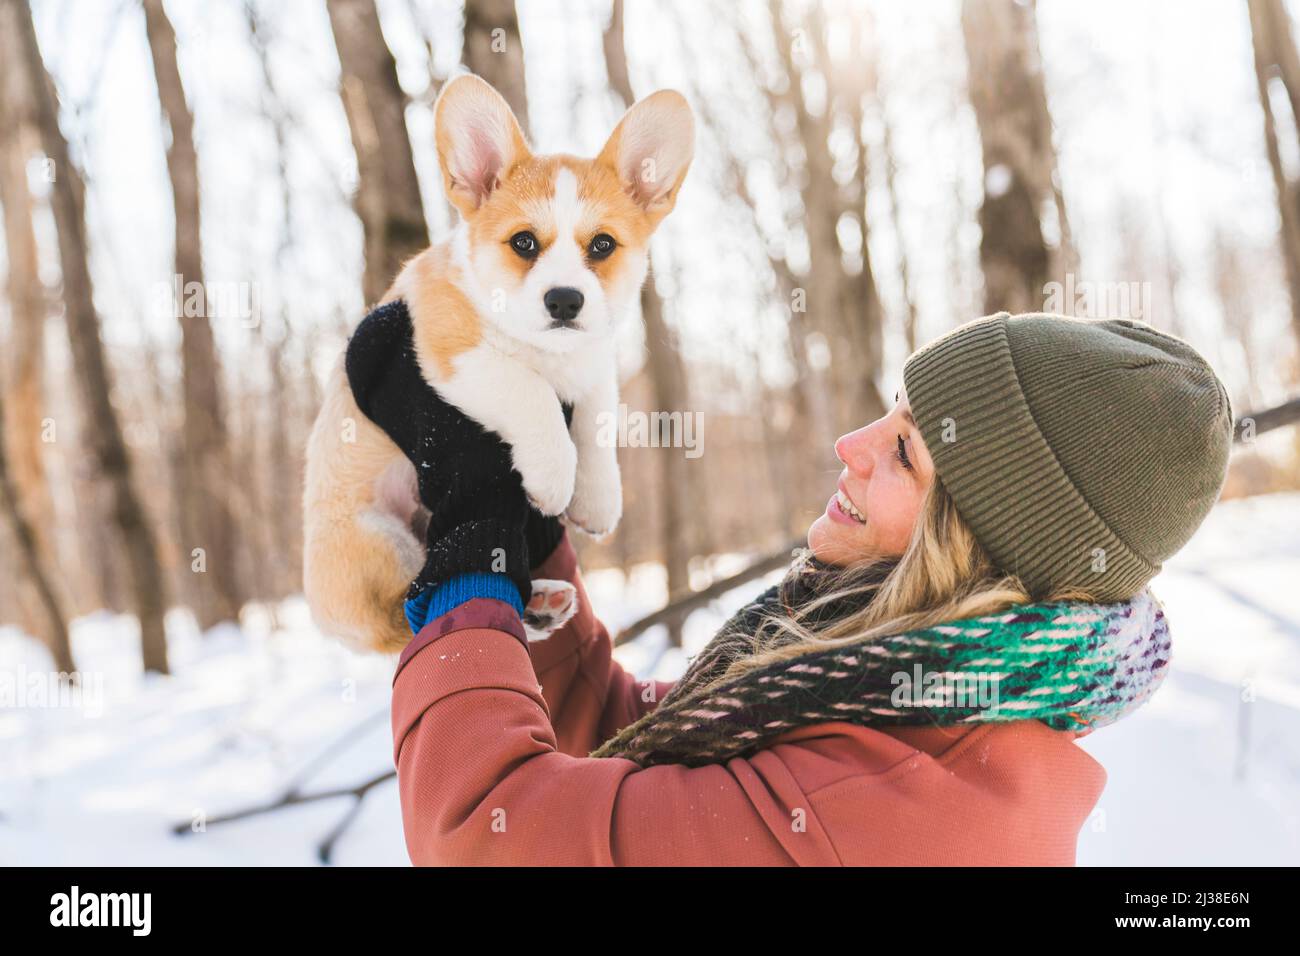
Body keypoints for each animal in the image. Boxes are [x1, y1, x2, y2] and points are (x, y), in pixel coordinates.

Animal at [301, 78, 691, 655]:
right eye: (523, 242)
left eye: (603, 245)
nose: (565, 300)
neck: (550, 352)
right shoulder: (452, 353)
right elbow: (531, 391)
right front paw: (554, 479)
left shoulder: (594, 364)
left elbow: (597, 421)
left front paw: (597, 498)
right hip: (377, 540)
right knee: (410, 611)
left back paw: (540, 605)